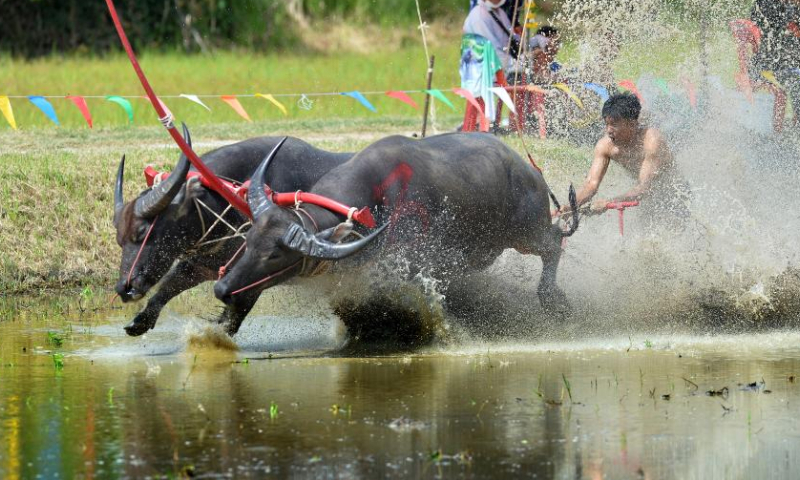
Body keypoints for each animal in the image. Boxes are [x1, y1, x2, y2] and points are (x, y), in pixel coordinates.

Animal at [114, 124, 352, 336]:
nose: (124, 288)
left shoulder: (251, 281)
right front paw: (140, 321)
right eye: (119, 240)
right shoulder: (202, 266)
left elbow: (229, 322)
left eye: (142, 231)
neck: (230, 200)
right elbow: (167, 288)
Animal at [212, 132, 576, 338]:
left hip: (526, 232)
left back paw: (554, 300)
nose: (221, 288)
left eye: (276, 254)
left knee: (554, 245)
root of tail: (528, 169)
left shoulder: (425, 266)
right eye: (248, 241)